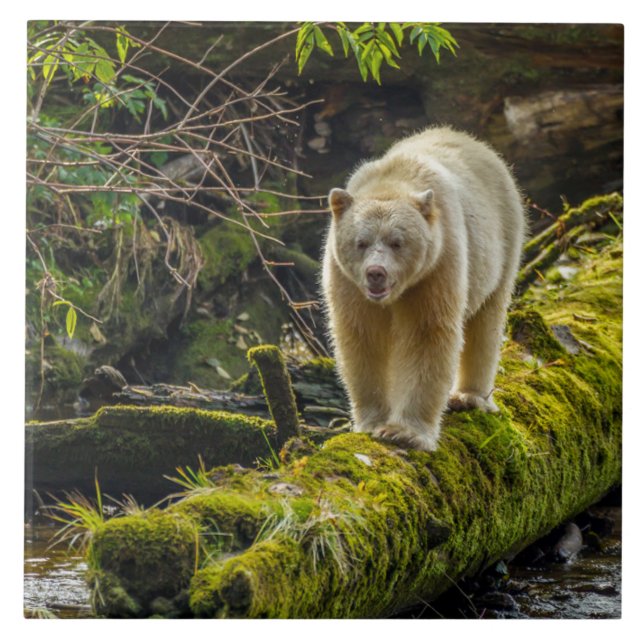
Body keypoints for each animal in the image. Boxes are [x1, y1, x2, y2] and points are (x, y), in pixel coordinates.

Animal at [321, 126, 526, 451]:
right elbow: (362, 339)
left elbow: (427, 334)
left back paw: (469, 396)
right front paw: (373, 422)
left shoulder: (437, 267)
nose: (375, 273)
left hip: (500, 245)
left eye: (397, 242)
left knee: (486, 322)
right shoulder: (346, 282)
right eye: (361, 242)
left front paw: (405, 432)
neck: (392, 182)